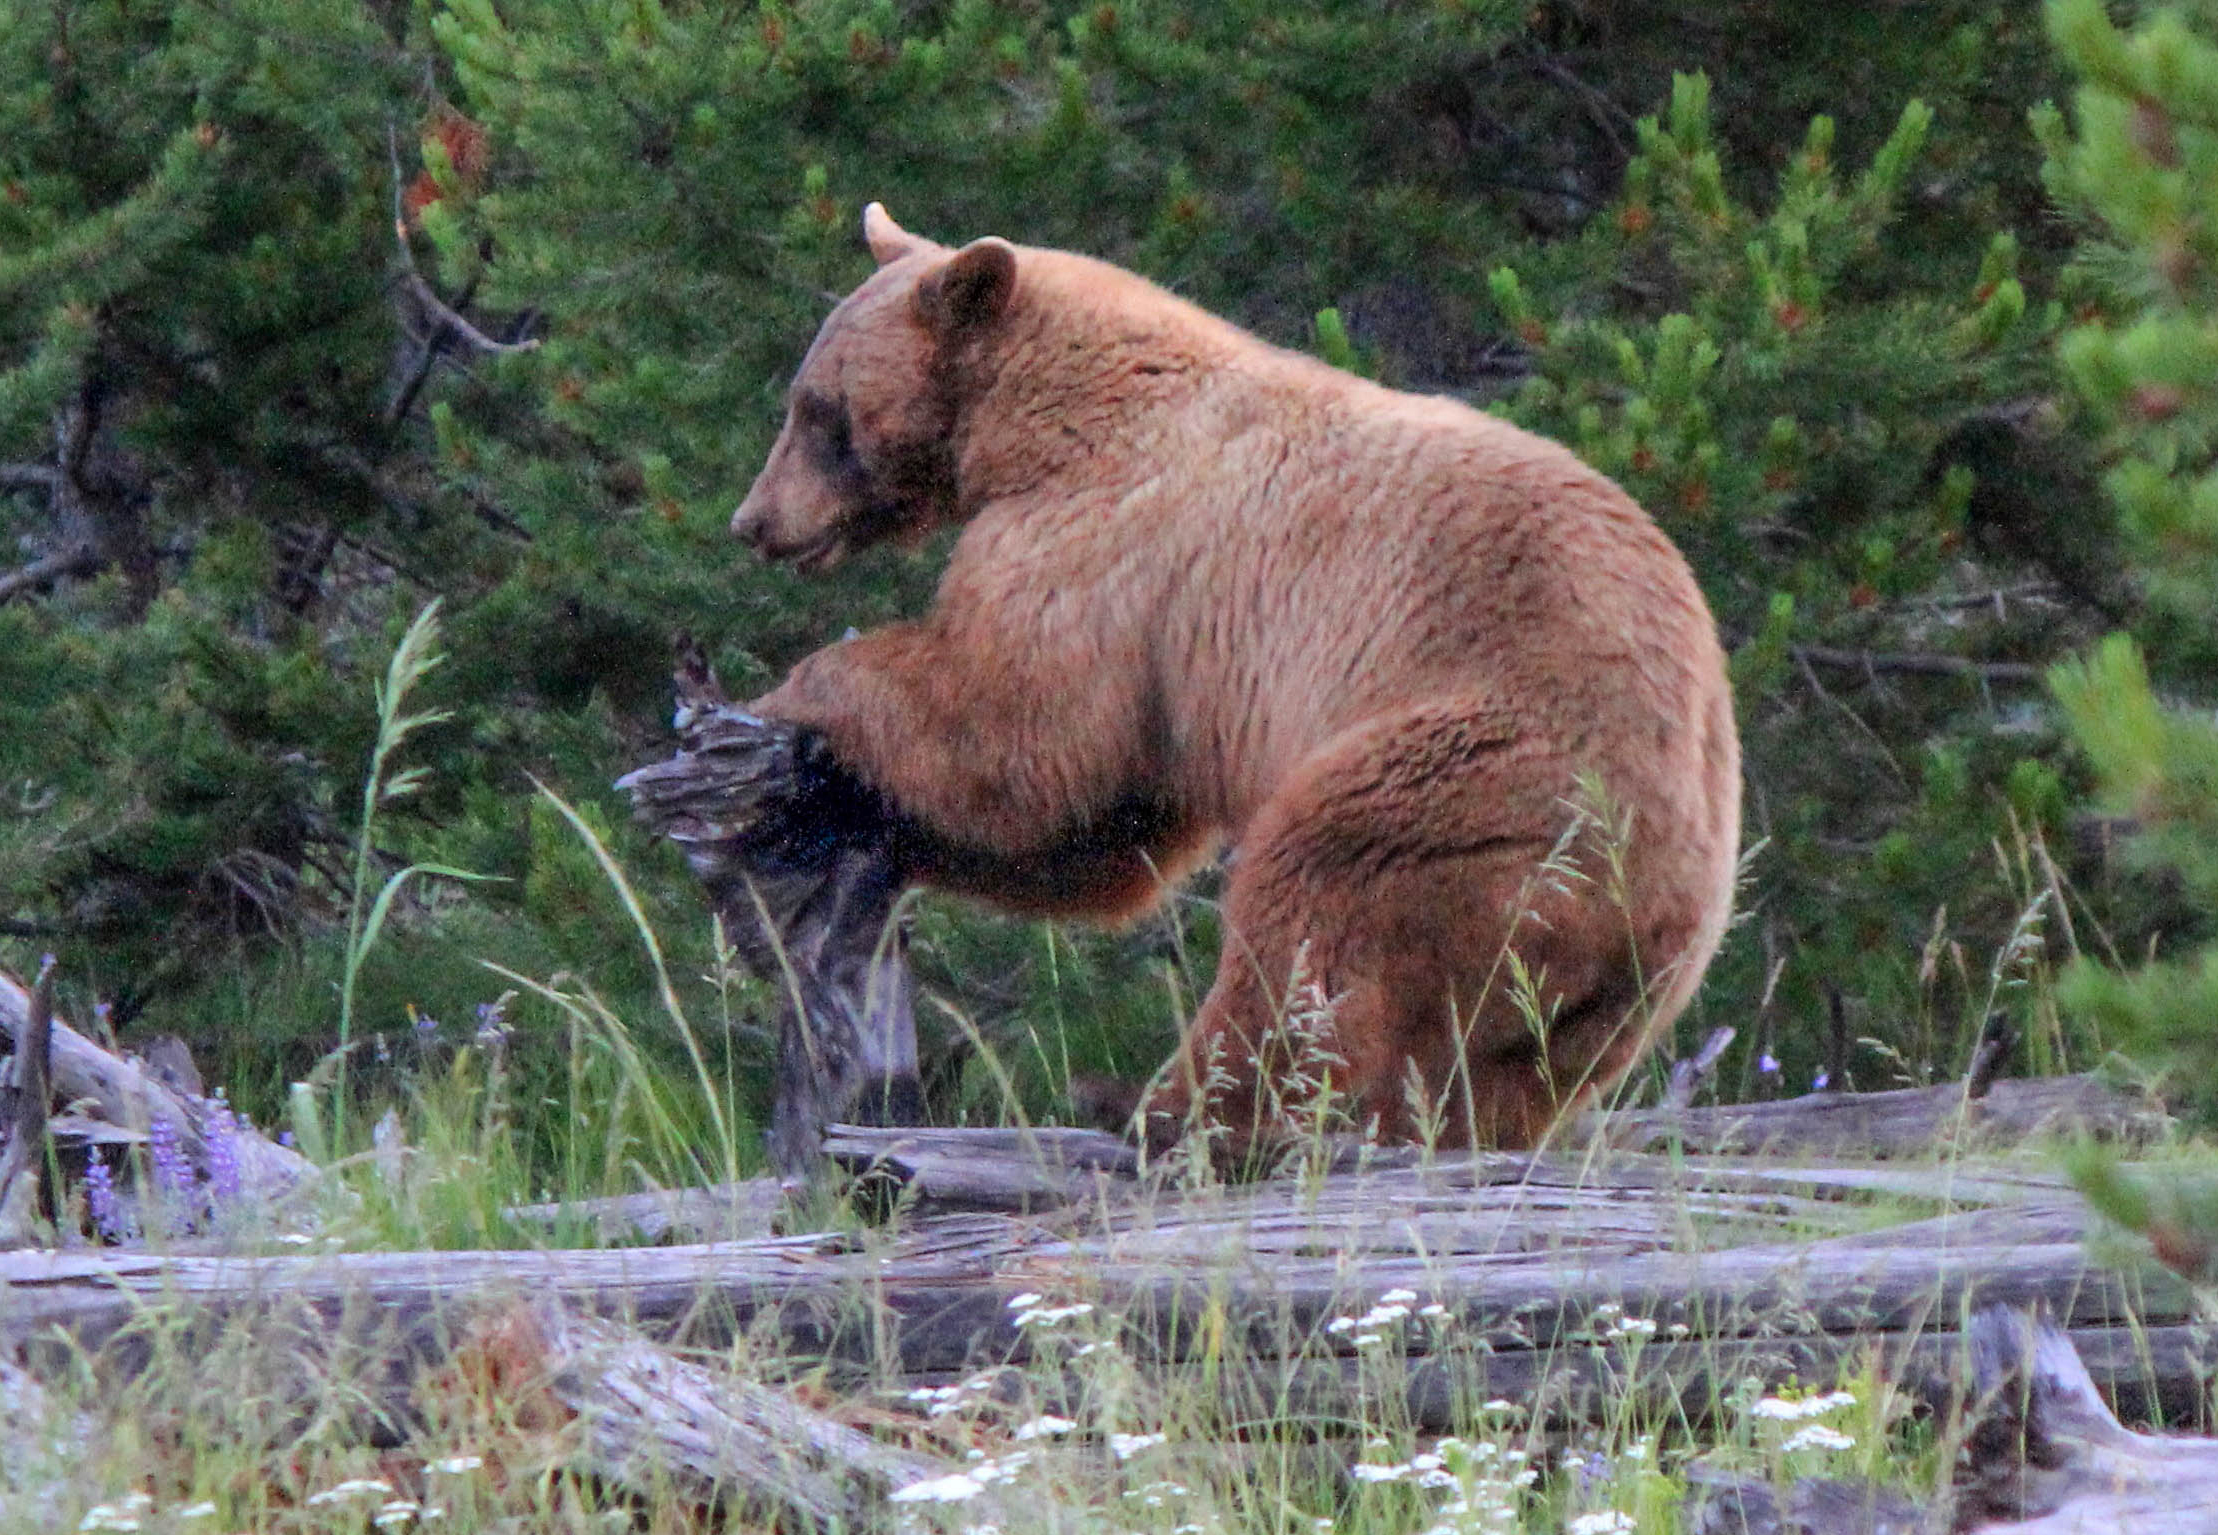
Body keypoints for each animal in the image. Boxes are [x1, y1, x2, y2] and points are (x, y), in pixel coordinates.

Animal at [736, 207, 1738, 1153]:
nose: (754, 521)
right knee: (1482, 1066)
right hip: (1600, 997)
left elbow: (1021, 740)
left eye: (818, 410)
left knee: (1311, 914)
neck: (1034, 422)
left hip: (1486, 782)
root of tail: (1653, 898)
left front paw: (788, 702)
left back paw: (1165, 1108)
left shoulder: (1107, 544)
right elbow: (1096, 828)